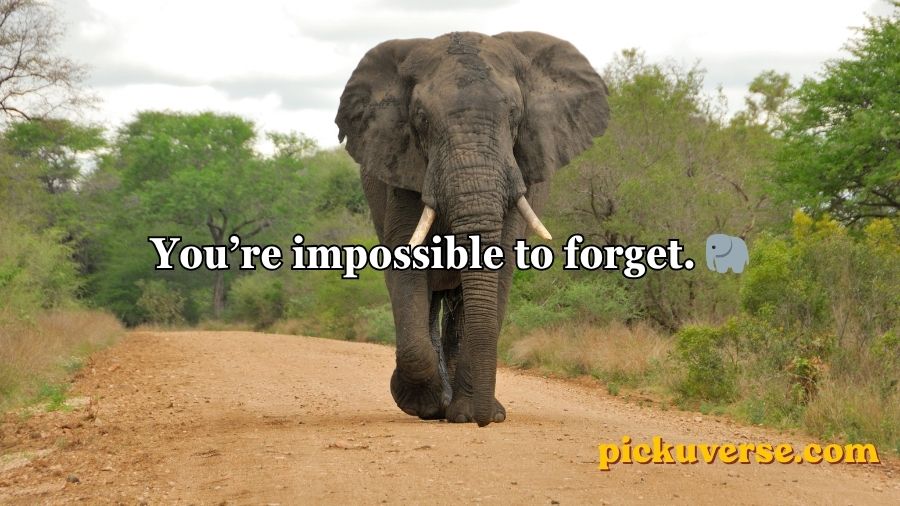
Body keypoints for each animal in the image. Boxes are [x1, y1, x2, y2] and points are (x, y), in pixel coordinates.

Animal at [335, 31, 609, 426]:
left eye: (515, 115)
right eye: (421, 119)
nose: (483, 421)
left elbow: (500, 265)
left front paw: (471, 414)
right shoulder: (403, 169)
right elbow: (406, 263)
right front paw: (422, 404)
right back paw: (440, 405)